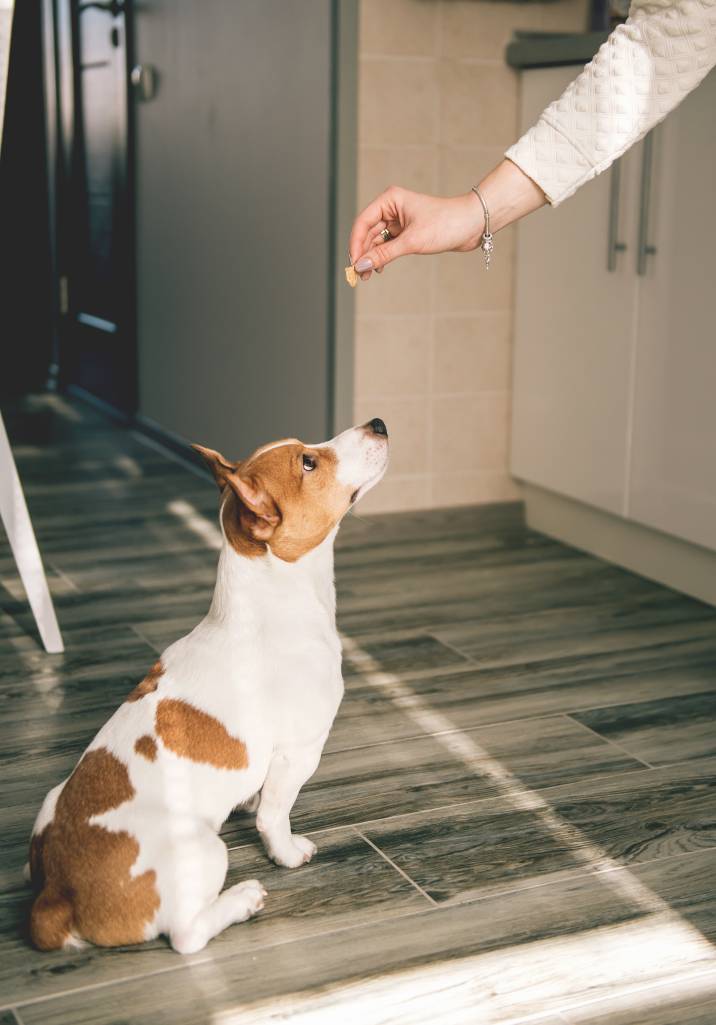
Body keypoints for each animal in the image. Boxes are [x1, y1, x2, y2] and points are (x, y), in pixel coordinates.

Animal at [28, 414, 389, 951]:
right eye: (308, 462)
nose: (378, 423)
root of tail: (57, 897)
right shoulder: (299, 751)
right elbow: (275, 815)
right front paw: (286, 851)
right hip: (205, 849)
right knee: (187, 936)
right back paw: (241, 900)